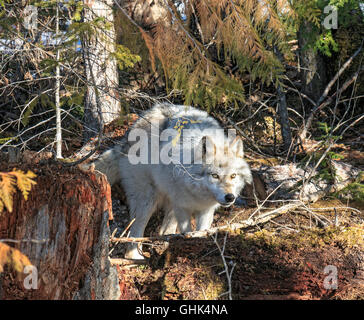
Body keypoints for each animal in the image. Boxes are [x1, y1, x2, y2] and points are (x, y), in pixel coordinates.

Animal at [92, 104, 252, 258]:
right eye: (215, 175)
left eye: (233, 176)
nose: (230, 197)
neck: (198, 193)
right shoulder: (182, 207)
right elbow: (188, 231)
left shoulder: (206, 210)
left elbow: (202, 230)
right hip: (148, 200)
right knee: (134, 236)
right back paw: (136, 258)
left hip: (168, 201)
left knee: (163, 231)